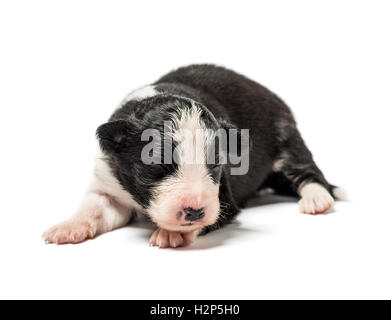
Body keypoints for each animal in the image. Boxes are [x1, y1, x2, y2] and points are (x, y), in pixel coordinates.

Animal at [43, 64, 346, 248]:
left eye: (215, 166)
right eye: (158, 166)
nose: (195, 211)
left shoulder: (224, 199)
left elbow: (209, 220)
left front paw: (171, 233)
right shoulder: (108, 182)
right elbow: (94, 208)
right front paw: (68, 227)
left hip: (286, 136)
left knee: (309, 173)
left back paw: (317, 199)